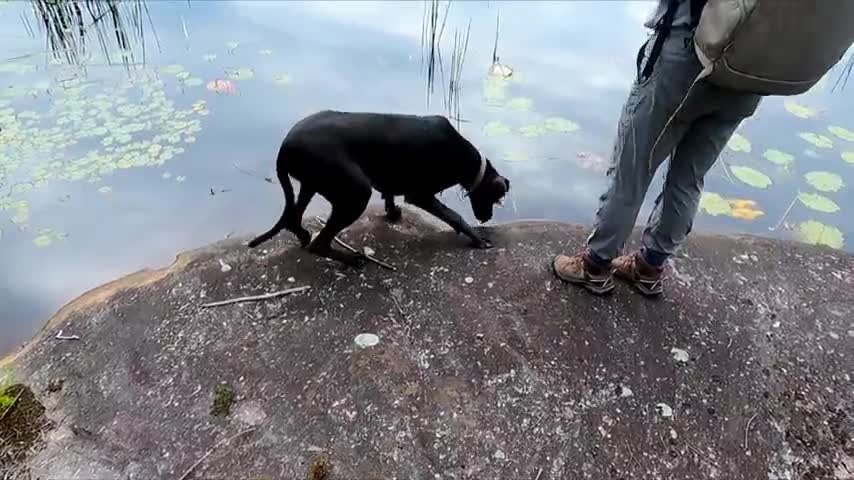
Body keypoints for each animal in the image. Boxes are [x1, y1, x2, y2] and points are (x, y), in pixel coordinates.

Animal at [251, 111, 512, 268]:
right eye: (496, 199)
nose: (486, 218)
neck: (466, 159)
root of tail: (284, 149)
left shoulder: (391, 181)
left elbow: (389, 194)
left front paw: (392, 212)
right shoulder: (420, 194)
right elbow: (454, 215)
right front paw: (476, 238)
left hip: (312, 183)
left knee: (294, 218)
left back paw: (304, 234)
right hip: (355, 192)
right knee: (319, 243)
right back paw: (352, 259)